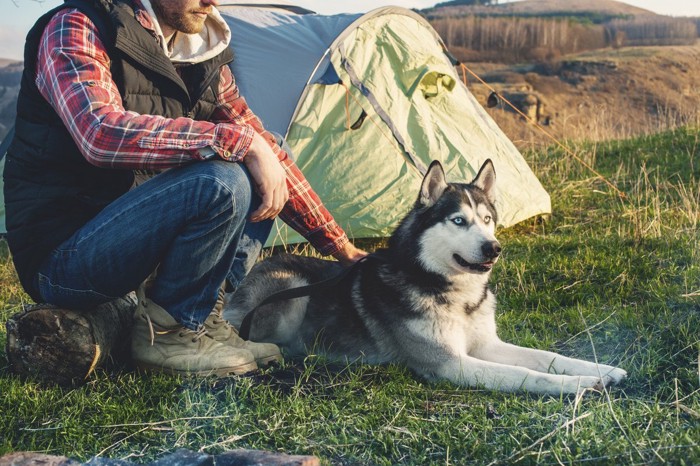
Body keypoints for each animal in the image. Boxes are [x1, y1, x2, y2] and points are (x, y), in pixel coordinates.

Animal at [226, 160, 628, 394]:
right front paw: (580, 385)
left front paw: (602, 370)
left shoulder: (485, 345)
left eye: (487, 220)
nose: (493, 248)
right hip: (294, 290)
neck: (454, 294)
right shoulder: (449, 363)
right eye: (458, 221)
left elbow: (546, 357)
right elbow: (528, 375)